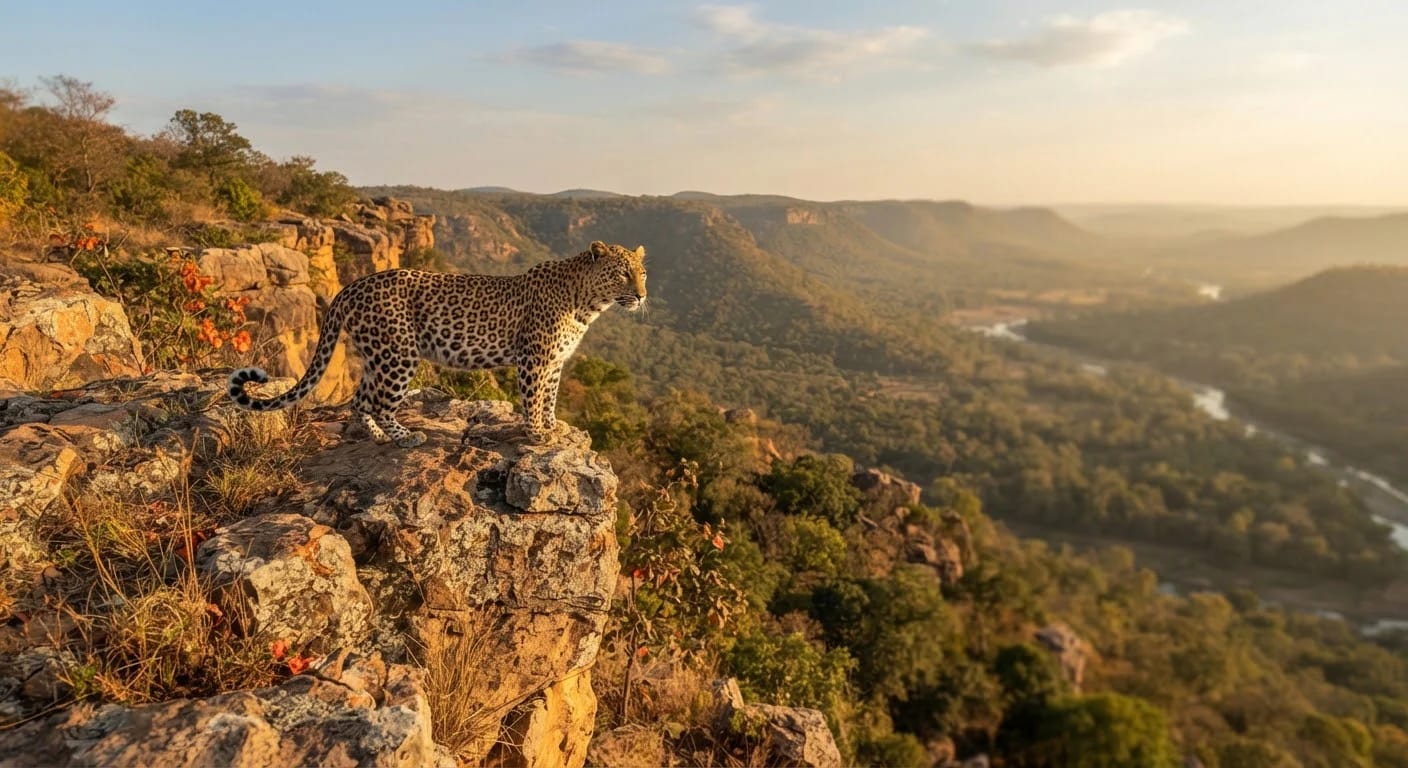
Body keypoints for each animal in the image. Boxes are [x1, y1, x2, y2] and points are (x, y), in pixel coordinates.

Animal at [227, 240, 647, 447]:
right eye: (622, 274)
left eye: (642, 273)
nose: (642, 295)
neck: (587, 303)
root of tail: (351, 287)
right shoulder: (535, 360)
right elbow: (533, 398)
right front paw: (536, 434)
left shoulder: (556, 361)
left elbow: (551, 397)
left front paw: (552, 426)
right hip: (399, 354)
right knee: (379, 403)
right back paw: (406, 437)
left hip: (377, 355)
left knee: (360, 401)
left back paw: (381, 439)